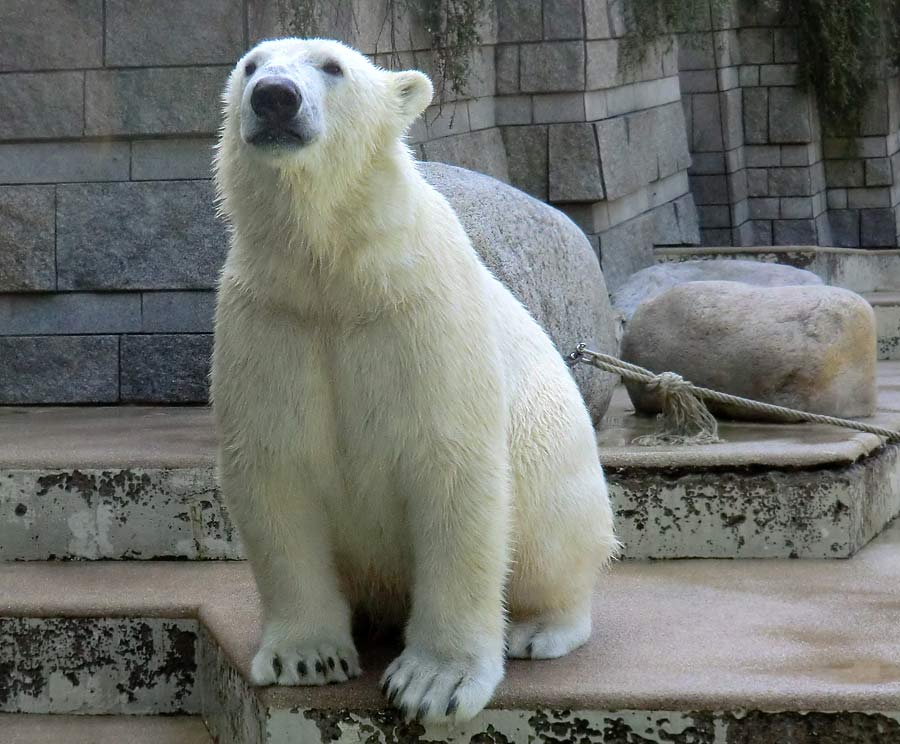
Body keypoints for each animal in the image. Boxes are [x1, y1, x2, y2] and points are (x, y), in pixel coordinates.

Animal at [212, 37, 620, 724]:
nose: (274, 97)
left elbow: (453, 471)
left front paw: (434, 682)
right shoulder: (271, 319)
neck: (337, 274)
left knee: (552, 536)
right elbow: (275, 469)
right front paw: (308, 657)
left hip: (557, 461)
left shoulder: (423, 314)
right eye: (250, 66)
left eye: (332, 66)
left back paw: (539, 628)